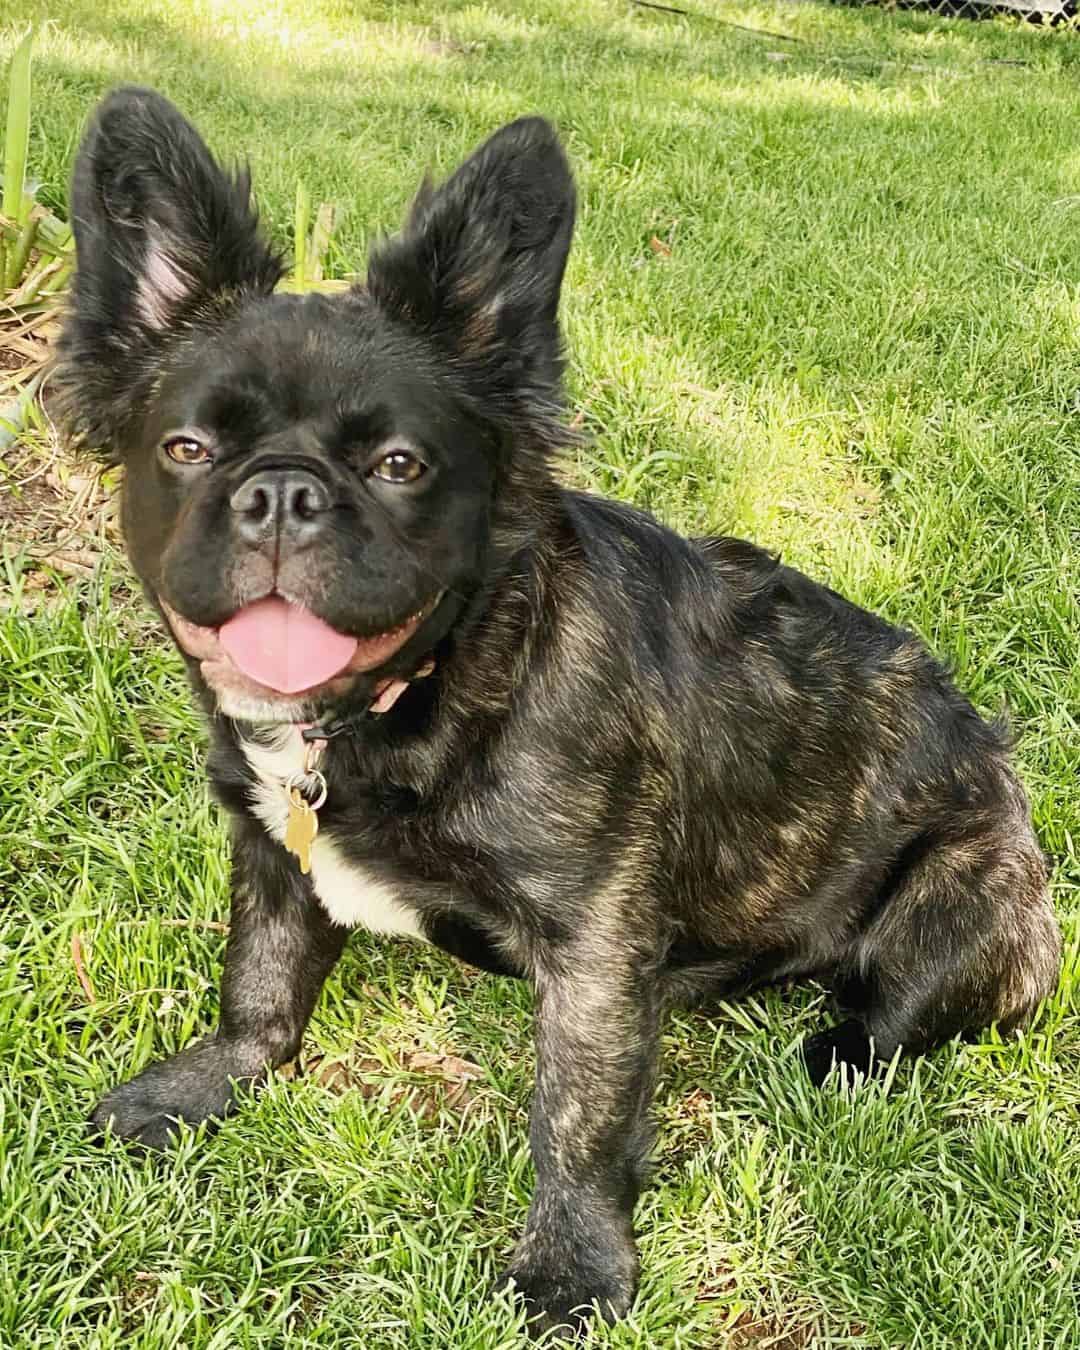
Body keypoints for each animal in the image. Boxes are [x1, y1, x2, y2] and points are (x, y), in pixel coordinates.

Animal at [54, 89, 1058, 1333]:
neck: (403, 701)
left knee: (887, 1019)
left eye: (401, 465)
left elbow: (575, 1114)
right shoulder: (273, 856)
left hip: (959, 906)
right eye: (186, 448)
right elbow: (263, 981)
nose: (282, 493)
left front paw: (573, 1264)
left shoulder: (595, 945)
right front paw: (205, 1084)